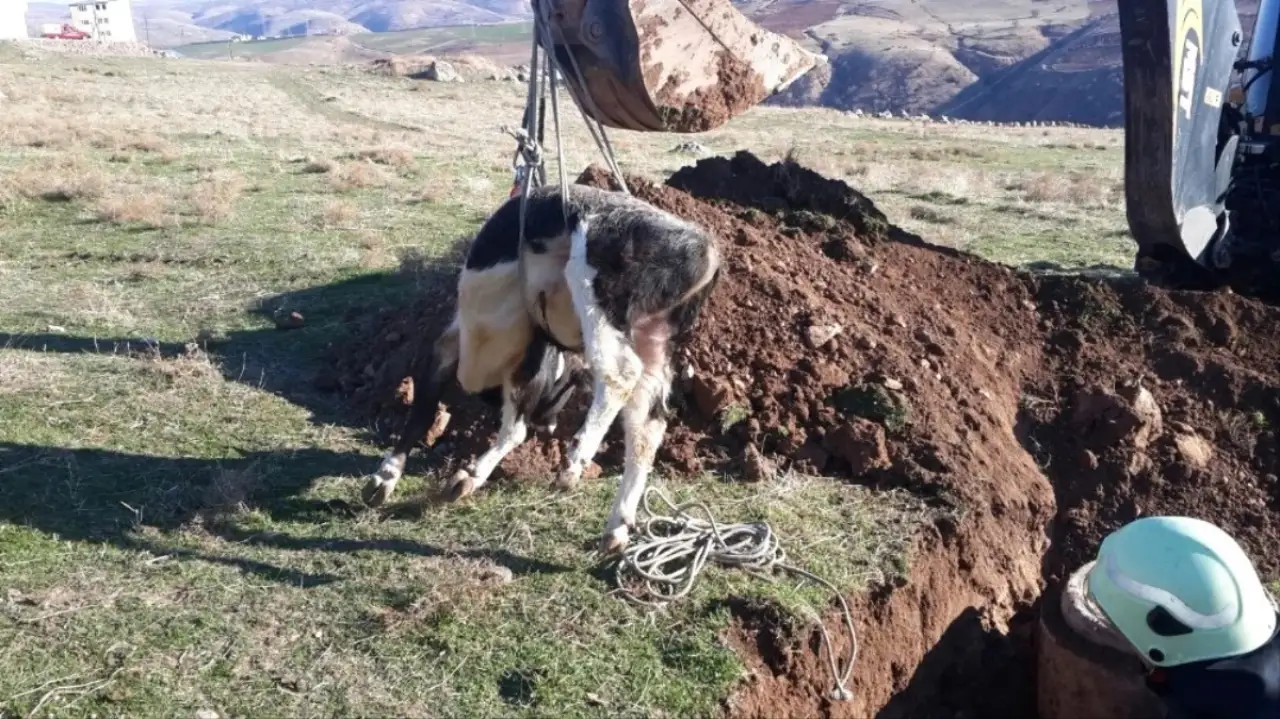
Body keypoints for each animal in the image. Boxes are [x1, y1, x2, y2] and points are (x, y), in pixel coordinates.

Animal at [363, 181, 721, 550]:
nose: (549, 427)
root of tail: (704, 248)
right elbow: (493, 422)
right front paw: (456, 478)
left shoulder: (470, 347)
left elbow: (435, 412)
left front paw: (388, 478)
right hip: (653, 339)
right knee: (648, 422)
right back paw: (617, 527)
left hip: (597, 290)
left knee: (621, 373)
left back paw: (576, 460)